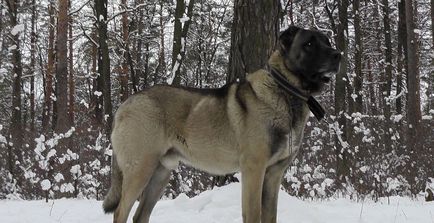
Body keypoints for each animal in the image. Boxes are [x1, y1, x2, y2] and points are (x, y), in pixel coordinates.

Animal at [103, 25, 340, 222]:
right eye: (309, 44)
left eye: (327, 41)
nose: (338, 55)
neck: (287, 92)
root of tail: (125, 105)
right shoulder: (254, 169)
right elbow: (253, 214)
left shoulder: (274, 174)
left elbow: (270, 216)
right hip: (140, 168)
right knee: (120, 212)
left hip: (160, 173)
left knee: (140, 215)